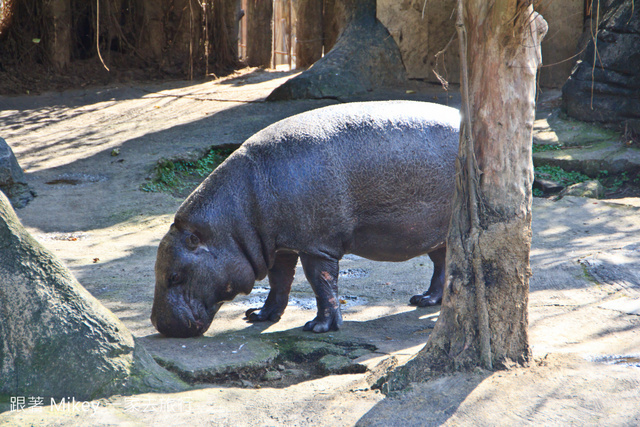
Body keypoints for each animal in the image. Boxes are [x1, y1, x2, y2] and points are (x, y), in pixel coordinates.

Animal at [150, 100, 460, 338]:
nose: (157, 324)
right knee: (442, 260)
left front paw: (317, 327)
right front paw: (258, 315)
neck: (233, 220)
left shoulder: (316, 246)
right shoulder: (280, 246)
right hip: (436, 230)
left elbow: (321, 283)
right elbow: (279, 281)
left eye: (174, 276)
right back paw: (424, 300)